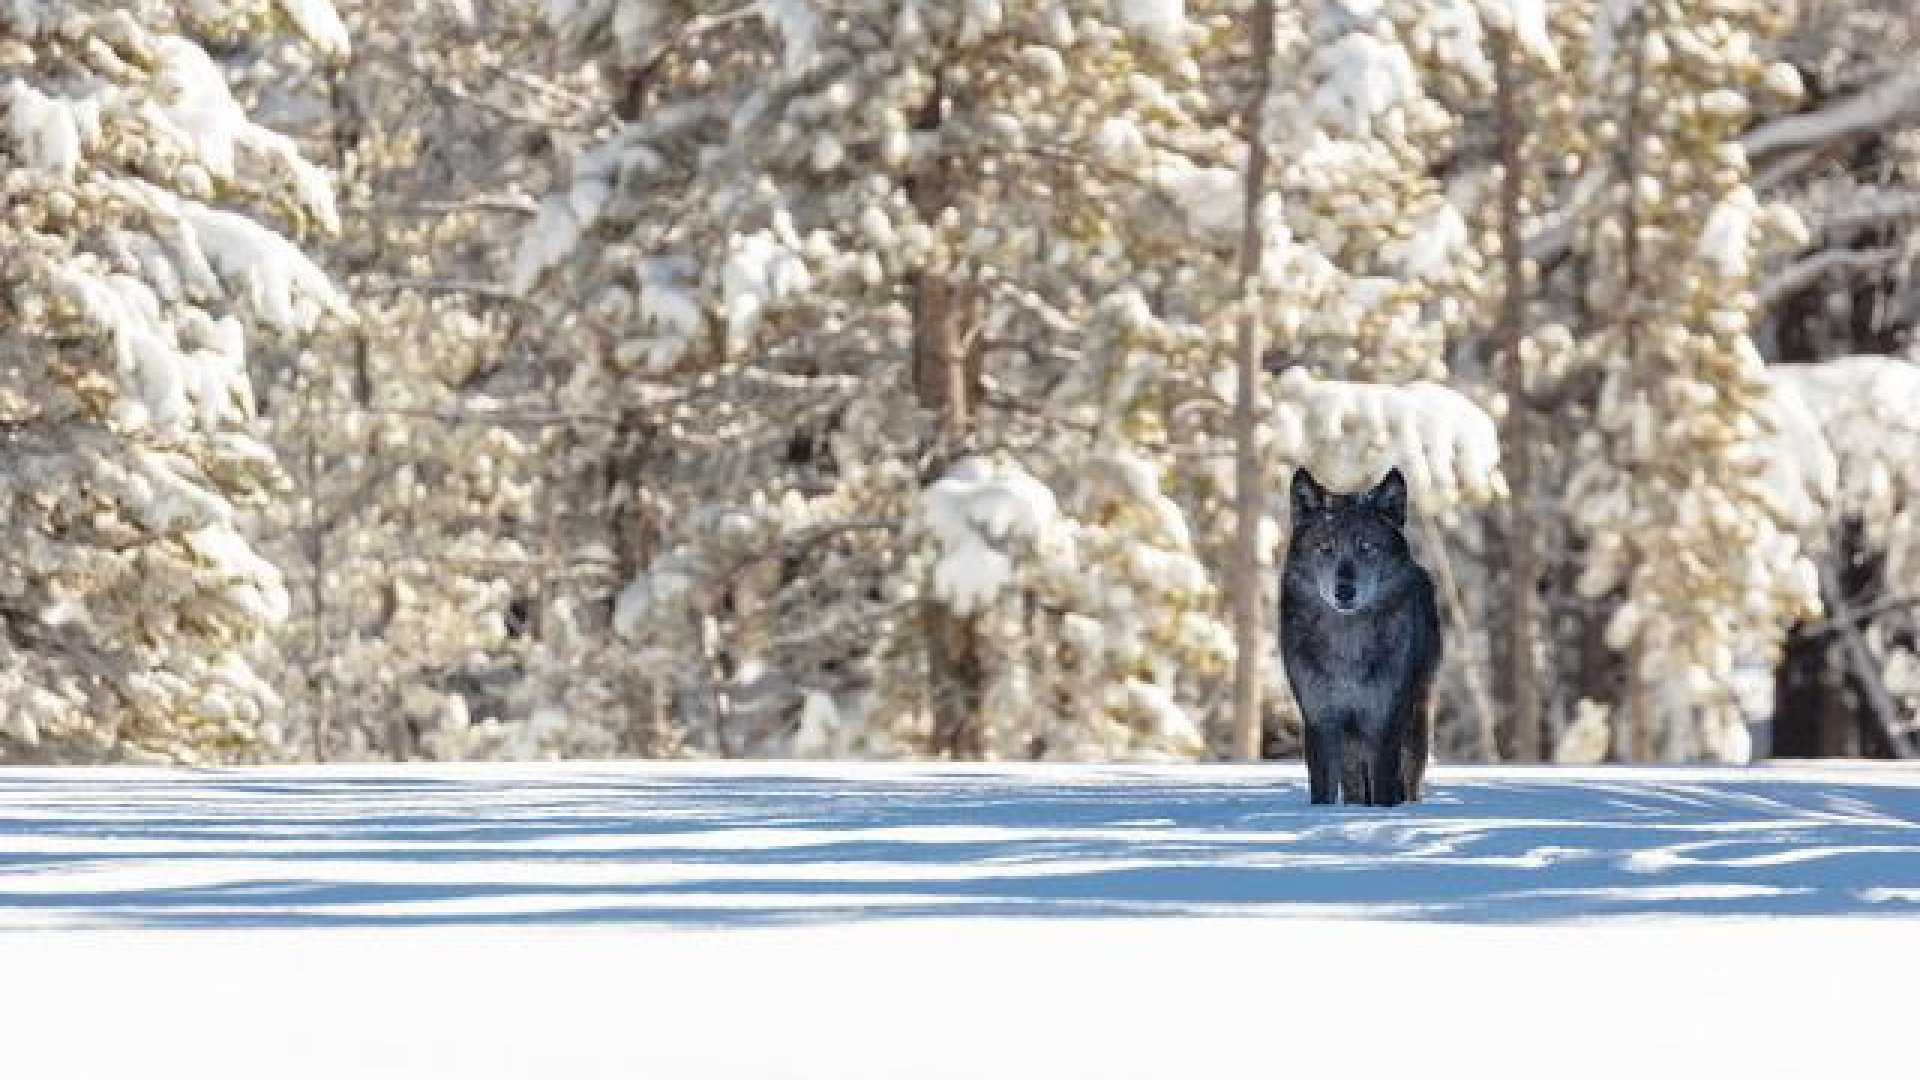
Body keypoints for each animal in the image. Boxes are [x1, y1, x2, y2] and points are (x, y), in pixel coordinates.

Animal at [1279, 467, 1441, 806]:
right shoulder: (1320, 720)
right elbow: (1323, 791)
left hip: (1415, 721)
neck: (1347, 645)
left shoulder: (1383, 720)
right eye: (1325, 548)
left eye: (1366, 547)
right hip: (1352, 744)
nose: (1344, 591)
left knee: (1409, 780)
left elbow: (1384, 787)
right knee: (1355, 784)